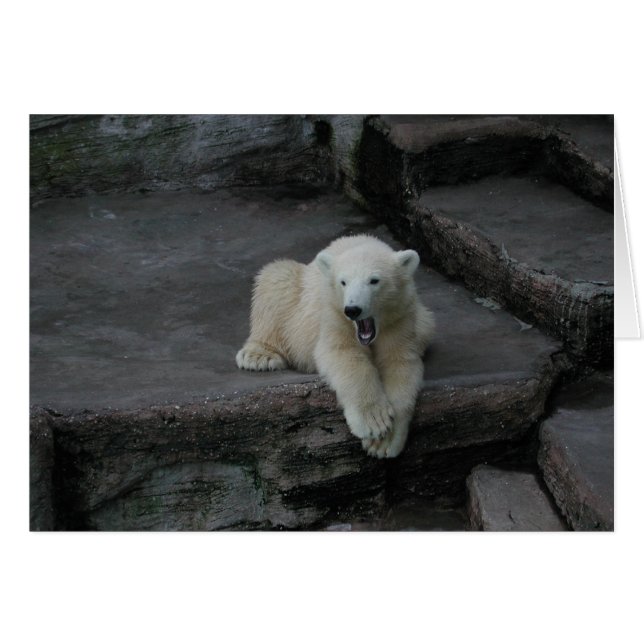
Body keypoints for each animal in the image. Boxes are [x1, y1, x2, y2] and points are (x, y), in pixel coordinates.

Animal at [236, 234, 434, 458]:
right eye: (343, 282)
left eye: (374, 280)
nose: (353, 309)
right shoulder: (334, 315)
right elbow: (345, 355)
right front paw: (373, 422)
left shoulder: (400, 318)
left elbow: (399, 362)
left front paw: (384, 442)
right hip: (296, 297)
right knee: (277, 279)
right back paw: (259, 356)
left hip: (424, 321)